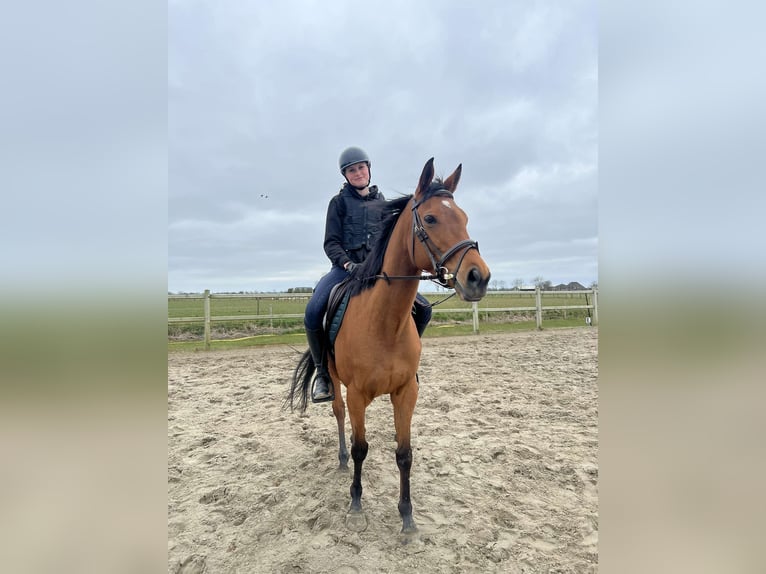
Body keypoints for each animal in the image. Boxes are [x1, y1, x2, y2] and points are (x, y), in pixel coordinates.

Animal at [286, 157, 491, 536]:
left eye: (464, 216)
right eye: (431, 219)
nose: (478, 277)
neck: (385, 323)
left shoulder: (405, 392)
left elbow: (404, 453)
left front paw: (407, 516)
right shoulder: (357, 395)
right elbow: (360, 448)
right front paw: (355, 505)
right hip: (335, 380)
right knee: (338, 414)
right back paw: (340, 460)